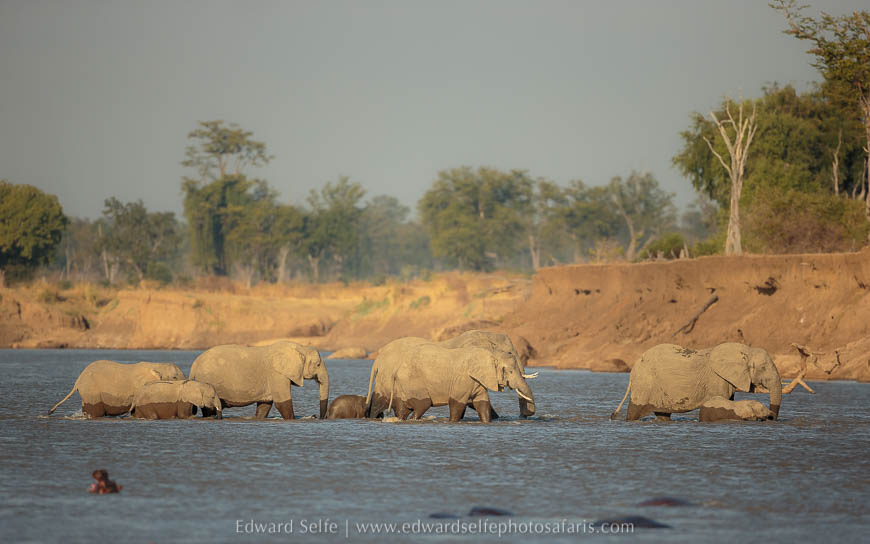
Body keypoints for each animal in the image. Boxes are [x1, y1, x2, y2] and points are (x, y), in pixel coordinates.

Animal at [189, 341, 329, 419]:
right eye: (318, 365)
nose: (319, 417)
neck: (301, 347)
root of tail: (195, 362)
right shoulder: (276, 374)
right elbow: (282, 403)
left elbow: (265, 404)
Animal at [611, 342, 782, 421]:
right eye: (763, 368)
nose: (771, 418)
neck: (746, 350)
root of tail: (633, 369)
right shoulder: (716, 379)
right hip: (645, 383)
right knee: (634, 411)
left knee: (663, 413)